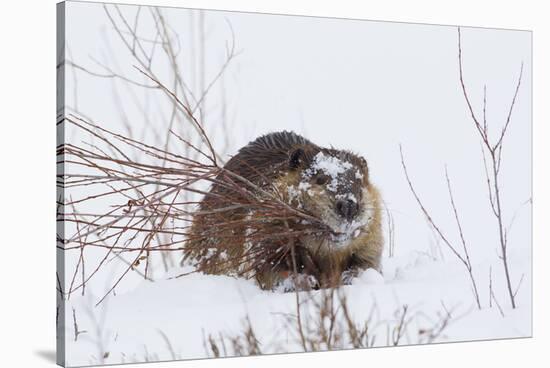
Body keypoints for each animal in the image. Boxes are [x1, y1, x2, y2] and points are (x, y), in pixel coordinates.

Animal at [185, 131, 384, 292]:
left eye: (360, 182)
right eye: (320, 179)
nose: (349, 205)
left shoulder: (372, 235)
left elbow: (368, 261)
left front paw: (350, 278)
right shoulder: (262, 222)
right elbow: (267, 265)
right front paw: (305, 281)